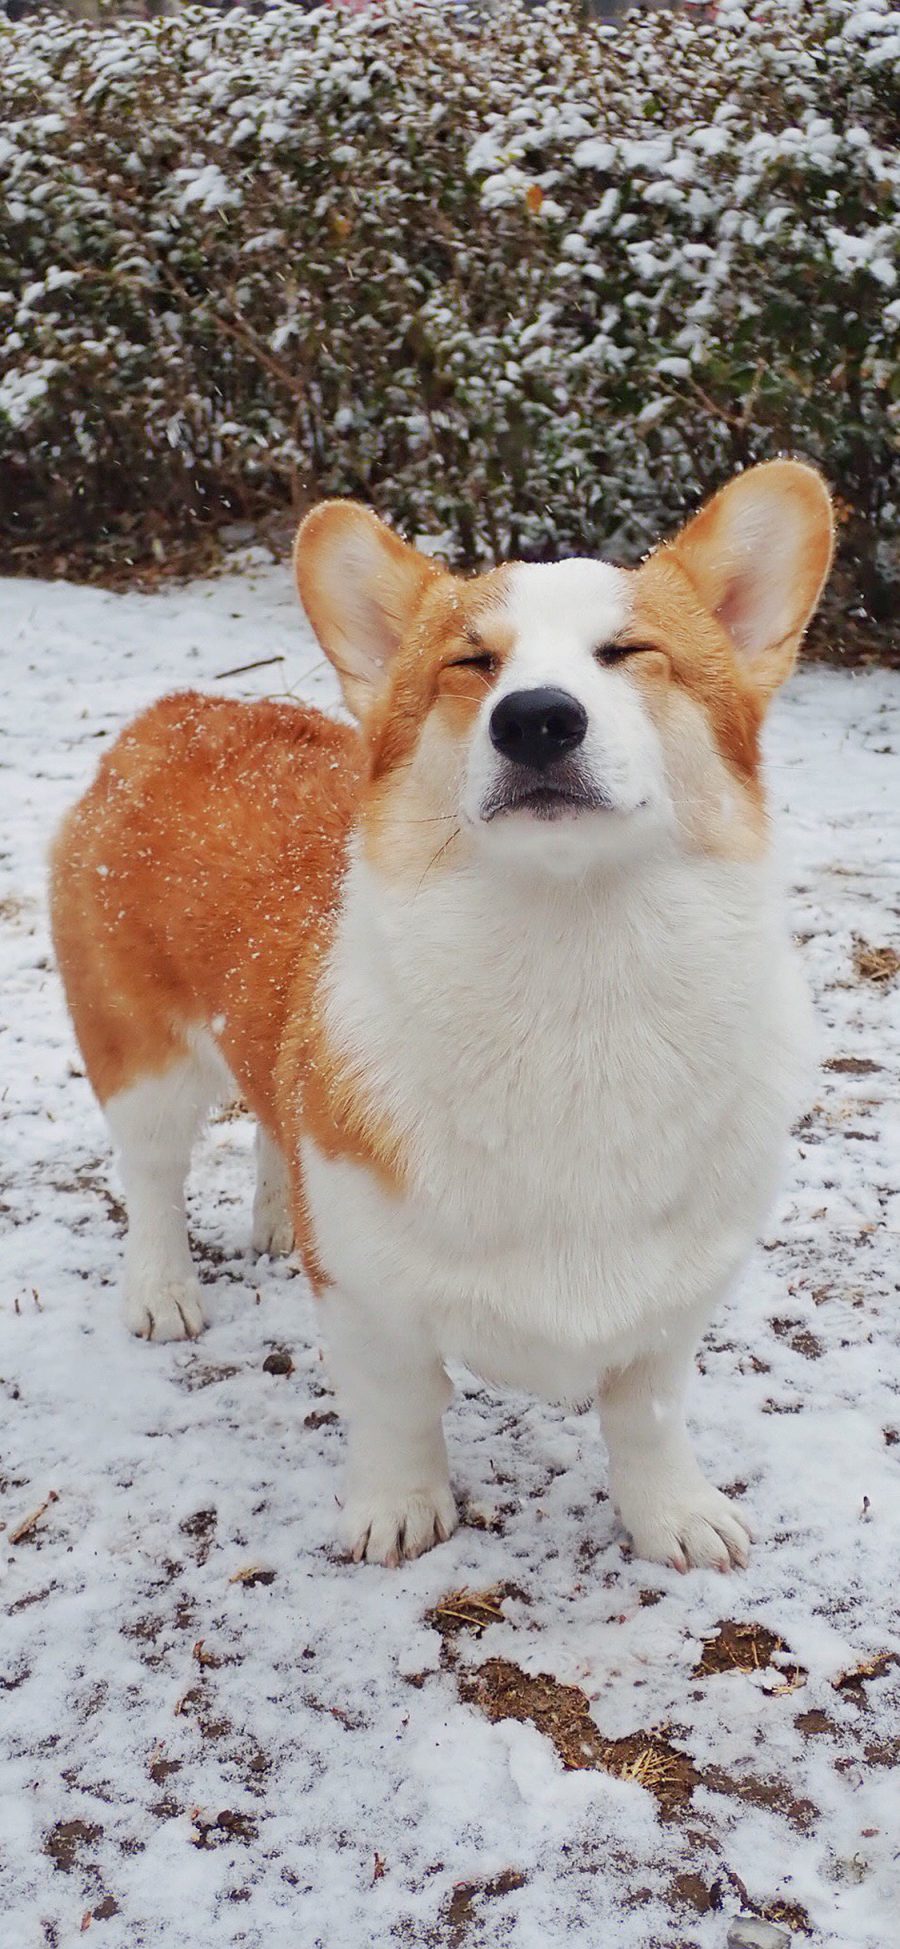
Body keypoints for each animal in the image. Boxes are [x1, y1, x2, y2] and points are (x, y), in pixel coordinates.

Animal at [52, 463, 833, 1574]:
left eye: (631, 652)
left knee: (268, 1116)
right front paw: (400, 1510)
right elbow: (399, 1410)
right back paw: (162, 1290)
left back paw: (274, 1219)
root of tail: (179, 709)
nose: (537, 719)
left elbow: (647, 1420)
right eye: (473, 662)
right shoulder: (369, 1301)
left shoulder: (672, 1304)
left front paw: (675, 1516)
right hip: (139, 1055)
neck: (573, 976)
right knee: (154, 1176)